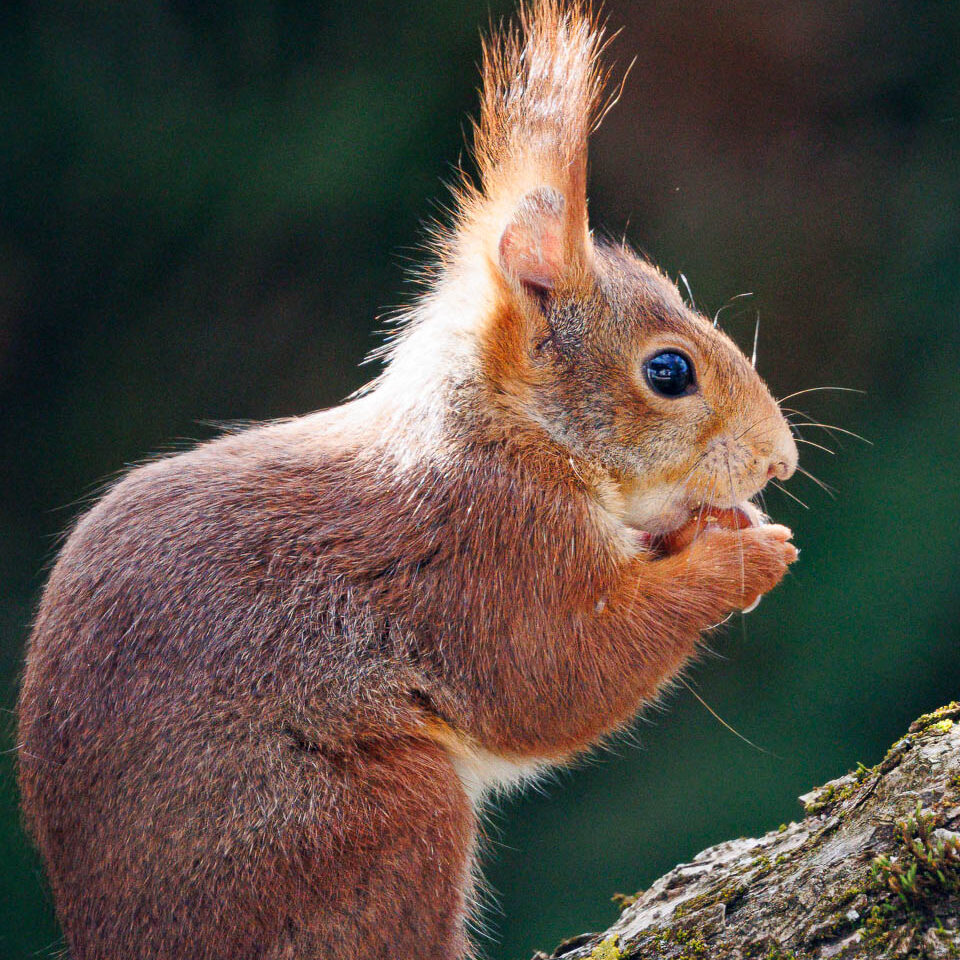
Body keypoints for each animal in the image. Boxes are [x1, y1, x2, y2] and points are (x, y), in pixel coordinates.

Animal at [17, 3, 798, 959]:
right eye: (669, 372)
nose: (781, 459)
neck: (510, 431)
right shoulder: (487, 548)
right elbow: (557, 674)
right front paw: (746, 558)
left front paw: (719, 527)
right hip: (368, 820)